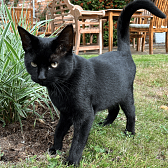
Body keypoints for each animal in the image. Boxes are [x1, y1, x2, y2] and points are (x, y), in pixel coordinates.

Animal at [17, 0, 165, 165]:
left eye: (54, 64)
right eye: (34, 64)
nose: (41, 77)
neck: (62, 87)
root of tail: (122, 52)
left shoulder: (85, 115)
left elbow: (78, 141)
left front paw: (72, 161)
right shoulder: (65, 113)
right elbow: (59, 130)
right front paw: (55, 149)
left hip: (126, 95)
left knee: (131, 113)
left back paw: (129, 132)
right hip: (109, 93)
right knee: (114, 108)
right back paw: (105, 123)